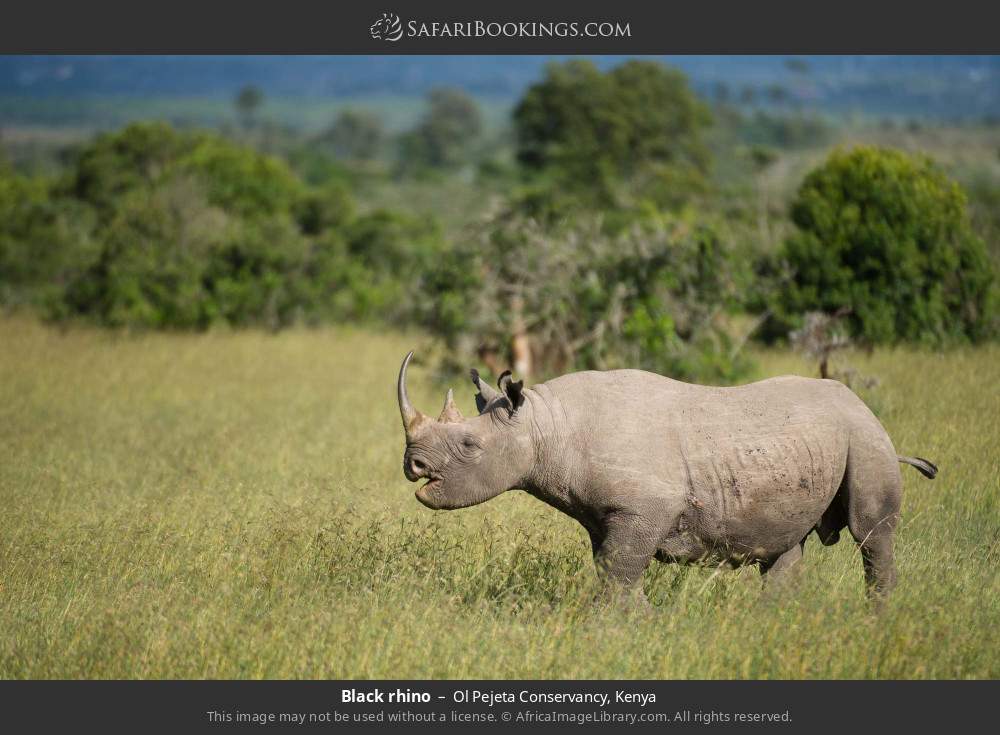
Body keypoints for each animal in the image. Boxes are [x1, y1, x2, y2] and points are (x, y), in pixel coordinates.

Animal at [396, 351, 937, 604]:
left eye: (469, 446)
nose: (413, 464)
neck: (546, 426)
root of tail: (863, 406)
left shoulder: (644, 506)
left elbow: (617, 572)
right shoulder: (606, 515)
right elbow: (615, 570)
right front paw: (637, 623)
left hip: (865, 436)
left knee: (871, 536)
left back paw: (876, 620)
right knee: (784, 548)